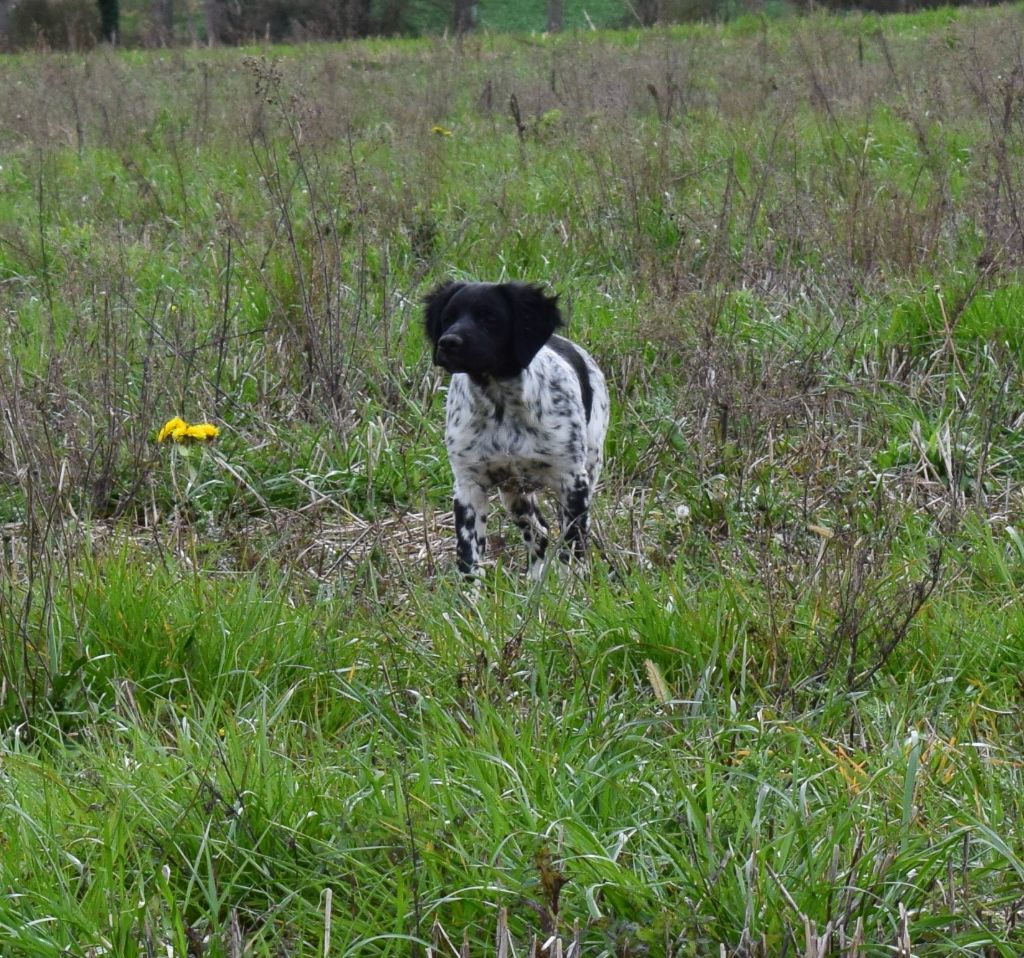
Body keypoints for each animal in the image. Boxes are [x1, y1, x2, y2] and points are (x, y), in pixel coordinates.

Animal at [423, 276, 606, 577]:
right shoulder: (468, 485)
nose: (447, 342)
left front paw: (571, 588)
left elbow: (573, 547)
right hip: (513, 493)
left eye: (489, 318)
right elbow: (468, 556)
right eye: (448, 318)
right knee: (539, 530)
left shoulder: (572, 481)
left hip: (588, 469)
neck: (500, 405)